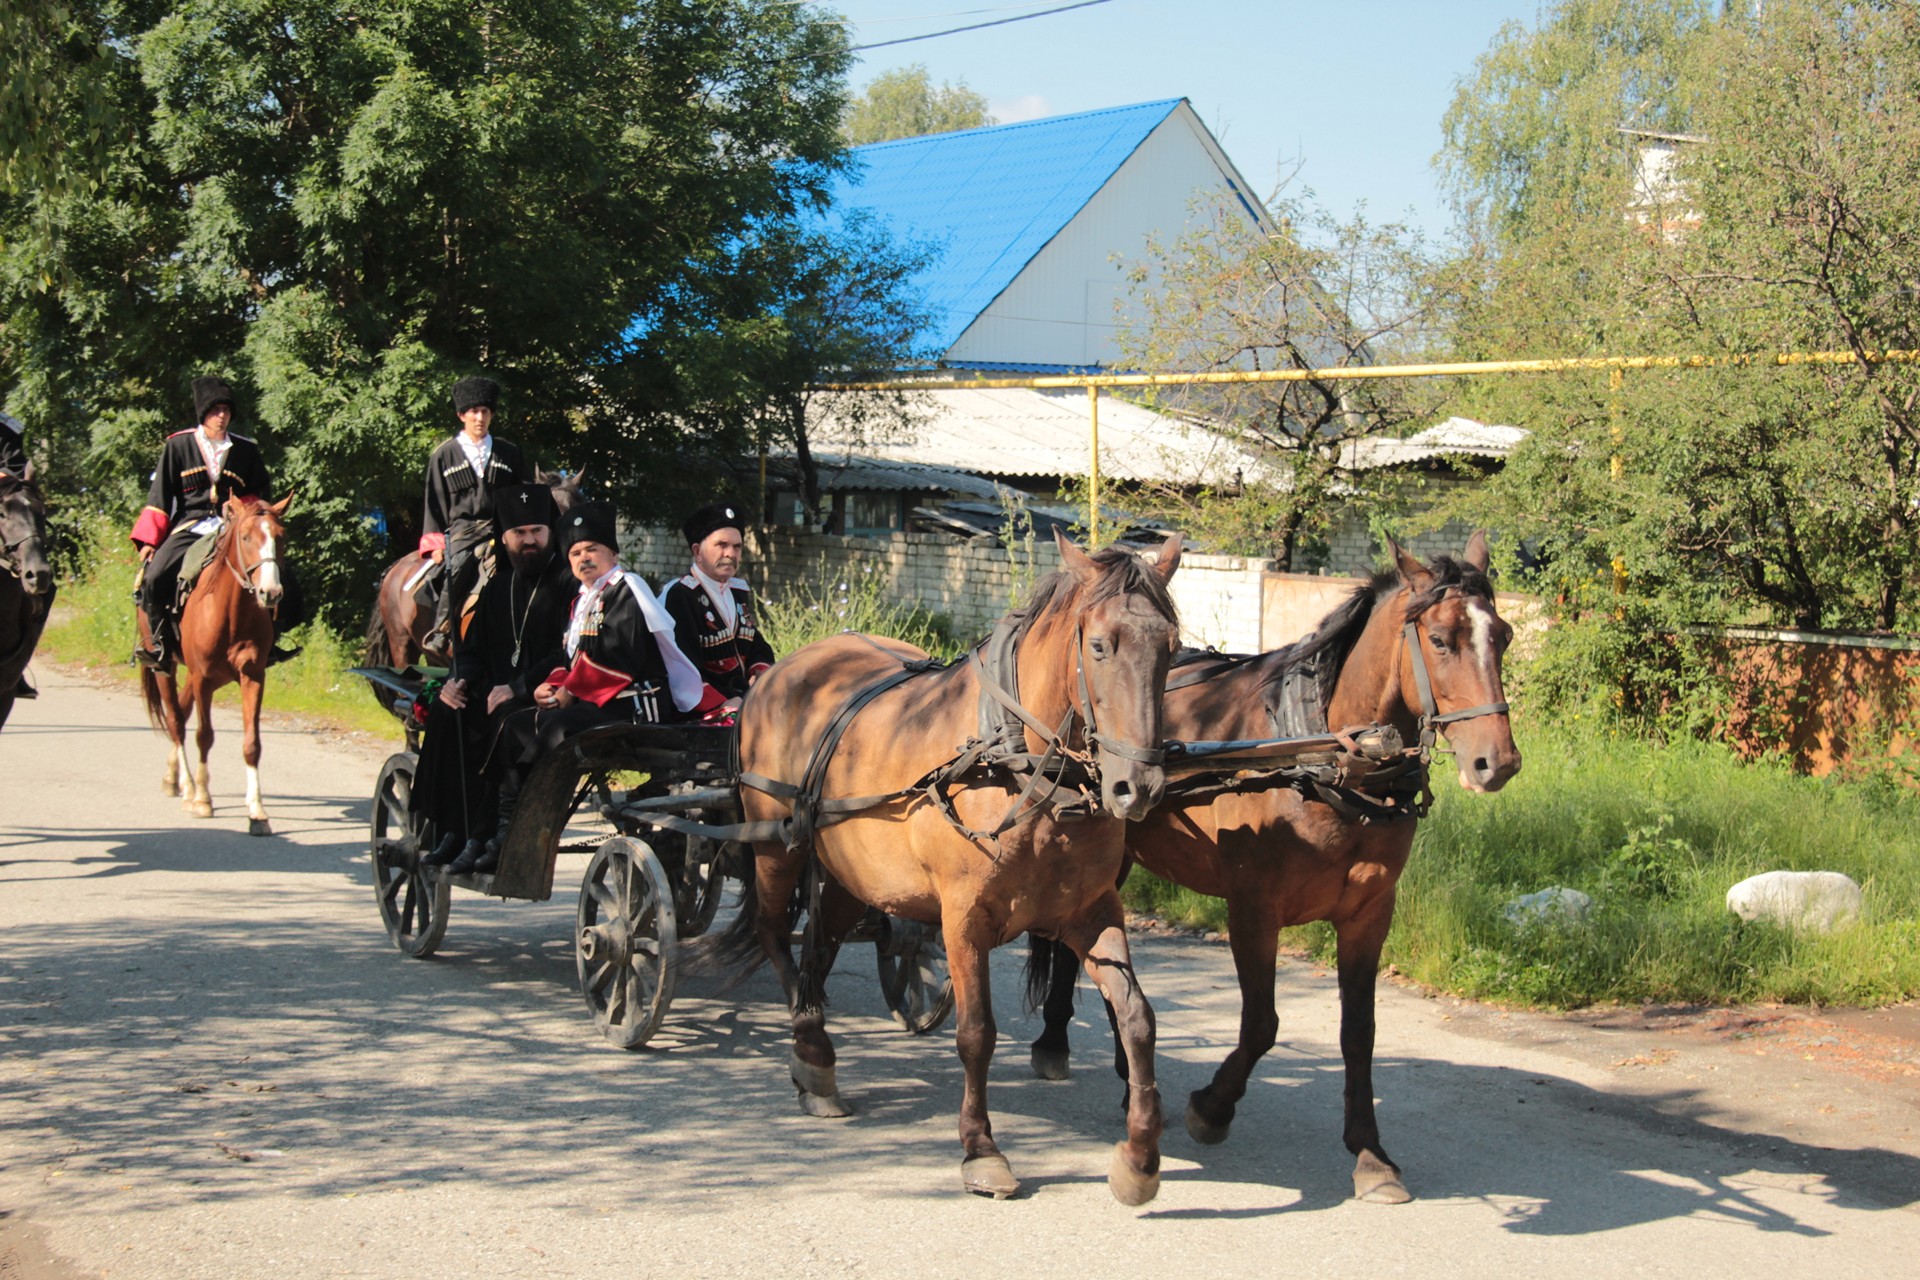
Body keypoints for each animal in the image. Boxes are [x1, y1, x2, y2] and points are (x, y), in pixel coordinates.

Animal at [139, 495, 293, 836]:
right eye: (246, 537)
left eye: (280, 536)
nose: (271, 593)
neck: (231, 612)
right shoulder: (203, 679)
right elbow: (204, 736)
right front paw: (202, 799)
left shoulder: (252, 677)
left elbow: (252, 743)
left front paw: (257, 811)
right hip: (166, 668)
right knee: (176, 721)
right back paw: (187, 786)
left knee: (181, 711)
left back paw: (173, 778)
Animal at [714, 537, 1175, 1205]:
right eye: (1099, 646)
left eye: (1172, 647)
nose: (1137, 788)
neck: (1016, 763)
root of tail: (779, 671)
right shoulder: (964, 920)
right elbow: (976, 1031)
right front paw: (981, 1150)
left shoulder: (1091, 911)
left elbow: (1137, 1019)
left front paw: (1139, 1159)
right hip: (778, 847)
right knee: (777, 935)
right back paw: (810, 1046)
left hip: (852, 874)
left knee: (819, 947)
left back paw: (816, 1056)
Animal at [1029, 537, 1520, 1205]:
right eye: (1441, 640)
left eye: (1504, 636)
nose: (1498, 761)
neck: (1325, 757)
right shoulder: (1254, 910)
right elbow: (1262, 1024)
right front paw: (1212, 1107)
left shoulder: (1369, 915)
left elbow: (1359, 1033)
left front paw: (1371, 1156)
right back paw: (1060, 1044)